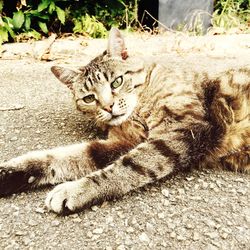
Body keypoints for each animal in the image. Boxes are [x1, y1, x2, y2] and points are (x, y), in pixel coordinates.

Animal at [0, 27, 249, 215]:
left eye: (117, 82)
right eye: (89, 98)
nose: (108, 107)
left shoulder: (184, 130)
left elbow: (126, 167)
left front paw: (75, 190)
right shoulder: (123, 142)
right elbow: (63, 156)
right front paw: (10, 173)